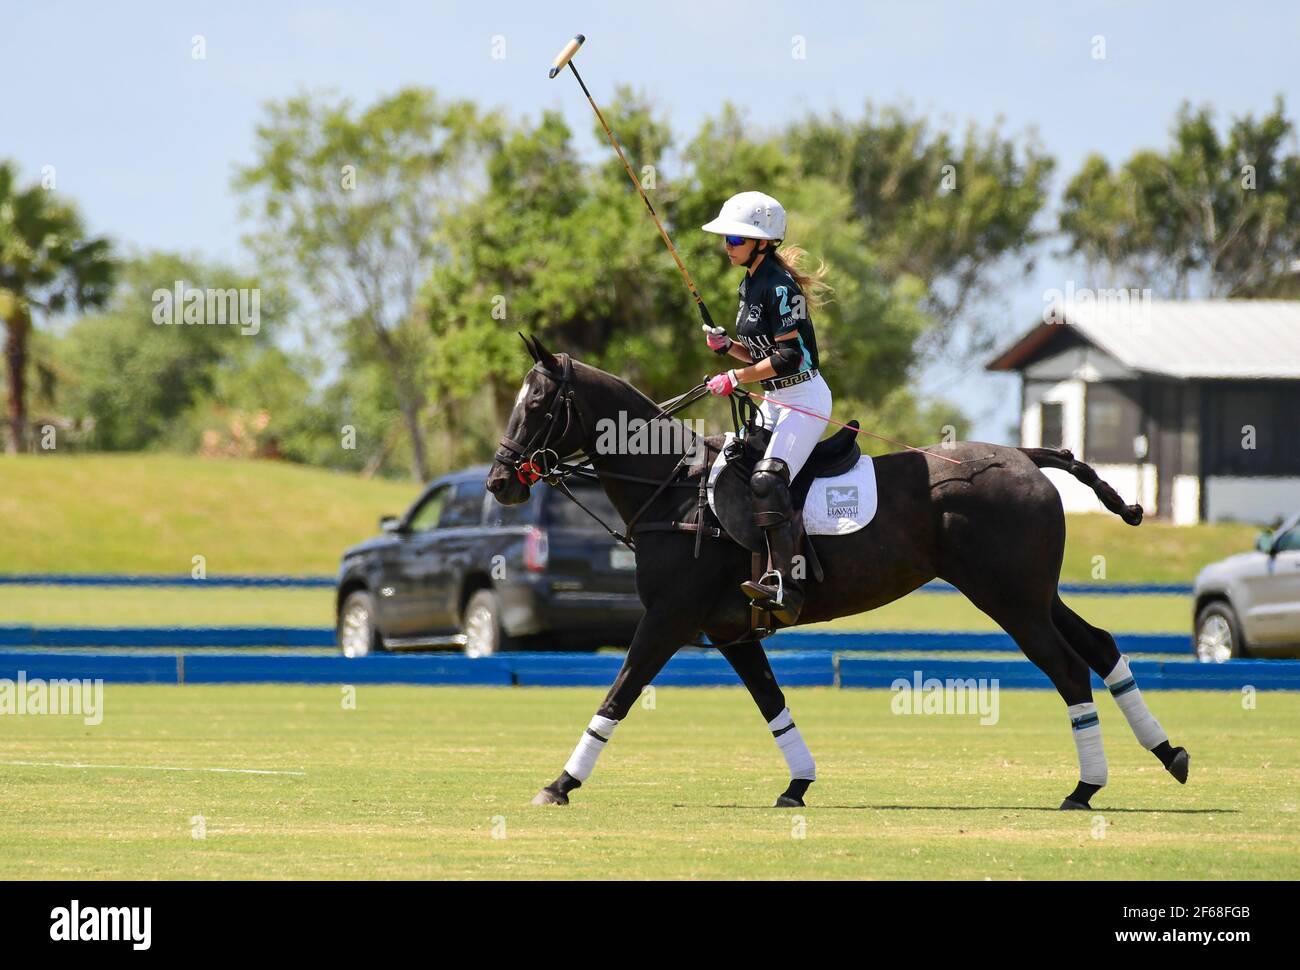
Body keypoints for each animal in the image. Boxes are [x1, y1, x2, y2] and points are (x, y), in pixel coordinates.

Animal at [488, 338, 1190, 806]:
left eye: (540, 404)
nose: (500, 482)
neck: (673, 491)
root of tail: (1024, 454)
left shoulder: (669, 618)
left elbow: (620, 691)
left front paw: (560, 783)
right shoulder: (730, 630)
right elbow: (771, 701)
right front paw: (797, 784)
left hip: (1009, 600)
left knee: (1069, 668)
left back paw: (1084, 787)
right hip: (1032, 592)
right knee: (1100, 644)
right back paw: (1170, 753)